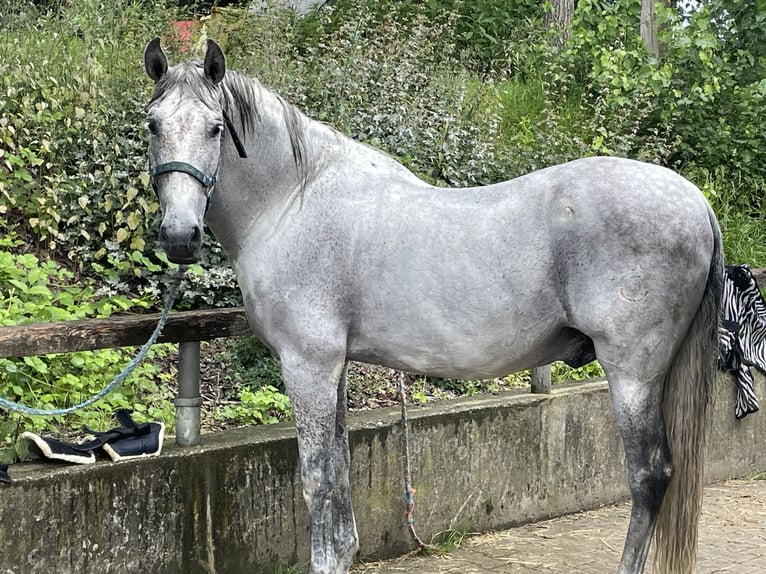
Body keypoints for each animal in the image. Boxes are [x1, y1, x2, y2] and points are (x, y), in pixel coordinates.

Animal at [144, 38, 728, 572]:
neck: (293, 200)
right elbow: (340, 477)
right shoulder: (333, 367)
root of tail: (698, 202)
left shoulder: (308, 365)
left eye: (215, 128)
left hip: (632, 374)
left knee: (649, 476)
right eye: (152, 125)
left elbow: (317, 482)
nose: (179, 236)